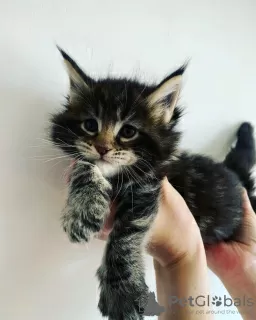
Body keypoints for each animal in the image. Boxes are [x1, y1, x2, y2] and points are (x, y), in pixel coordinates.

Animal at [51, 48, 255, 320]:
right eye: (90, 125)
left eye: (128, 131)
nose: (102, 148)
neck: (116, 177)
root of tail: (231, 172)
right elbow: (84, 166)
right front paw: (83, 211)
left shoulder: (147, 186)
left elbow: (126, 236)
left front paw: (122, 294)